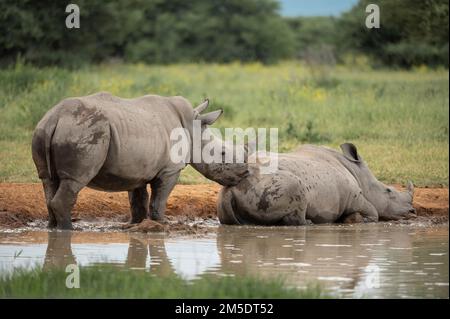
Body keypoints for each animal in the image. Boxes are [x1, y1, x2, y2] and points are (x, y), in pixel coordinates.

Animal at [30, 92, 223, 230]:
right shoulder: (170, 169)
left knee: (48, 180)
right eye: (221, 153)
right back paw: (69, 230)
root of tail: (56, 118)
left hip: (46, 129)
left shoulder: (138, 169)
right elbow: (159, 199)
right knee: (74, 179)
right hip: (82, 130)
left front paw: (137, 224)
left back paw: (52, 228)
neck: (192, 126)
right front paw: (163, 224)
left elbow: (138, 199)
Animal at [216, 144, 416, 226]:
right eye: (389, 191)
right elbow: (373, 212)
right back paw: (309, 223)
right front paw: (356, 220)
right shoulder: (355, 197)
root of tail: (231, 188)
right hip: (269, 184)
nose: (412, 211)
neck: (359, 173)